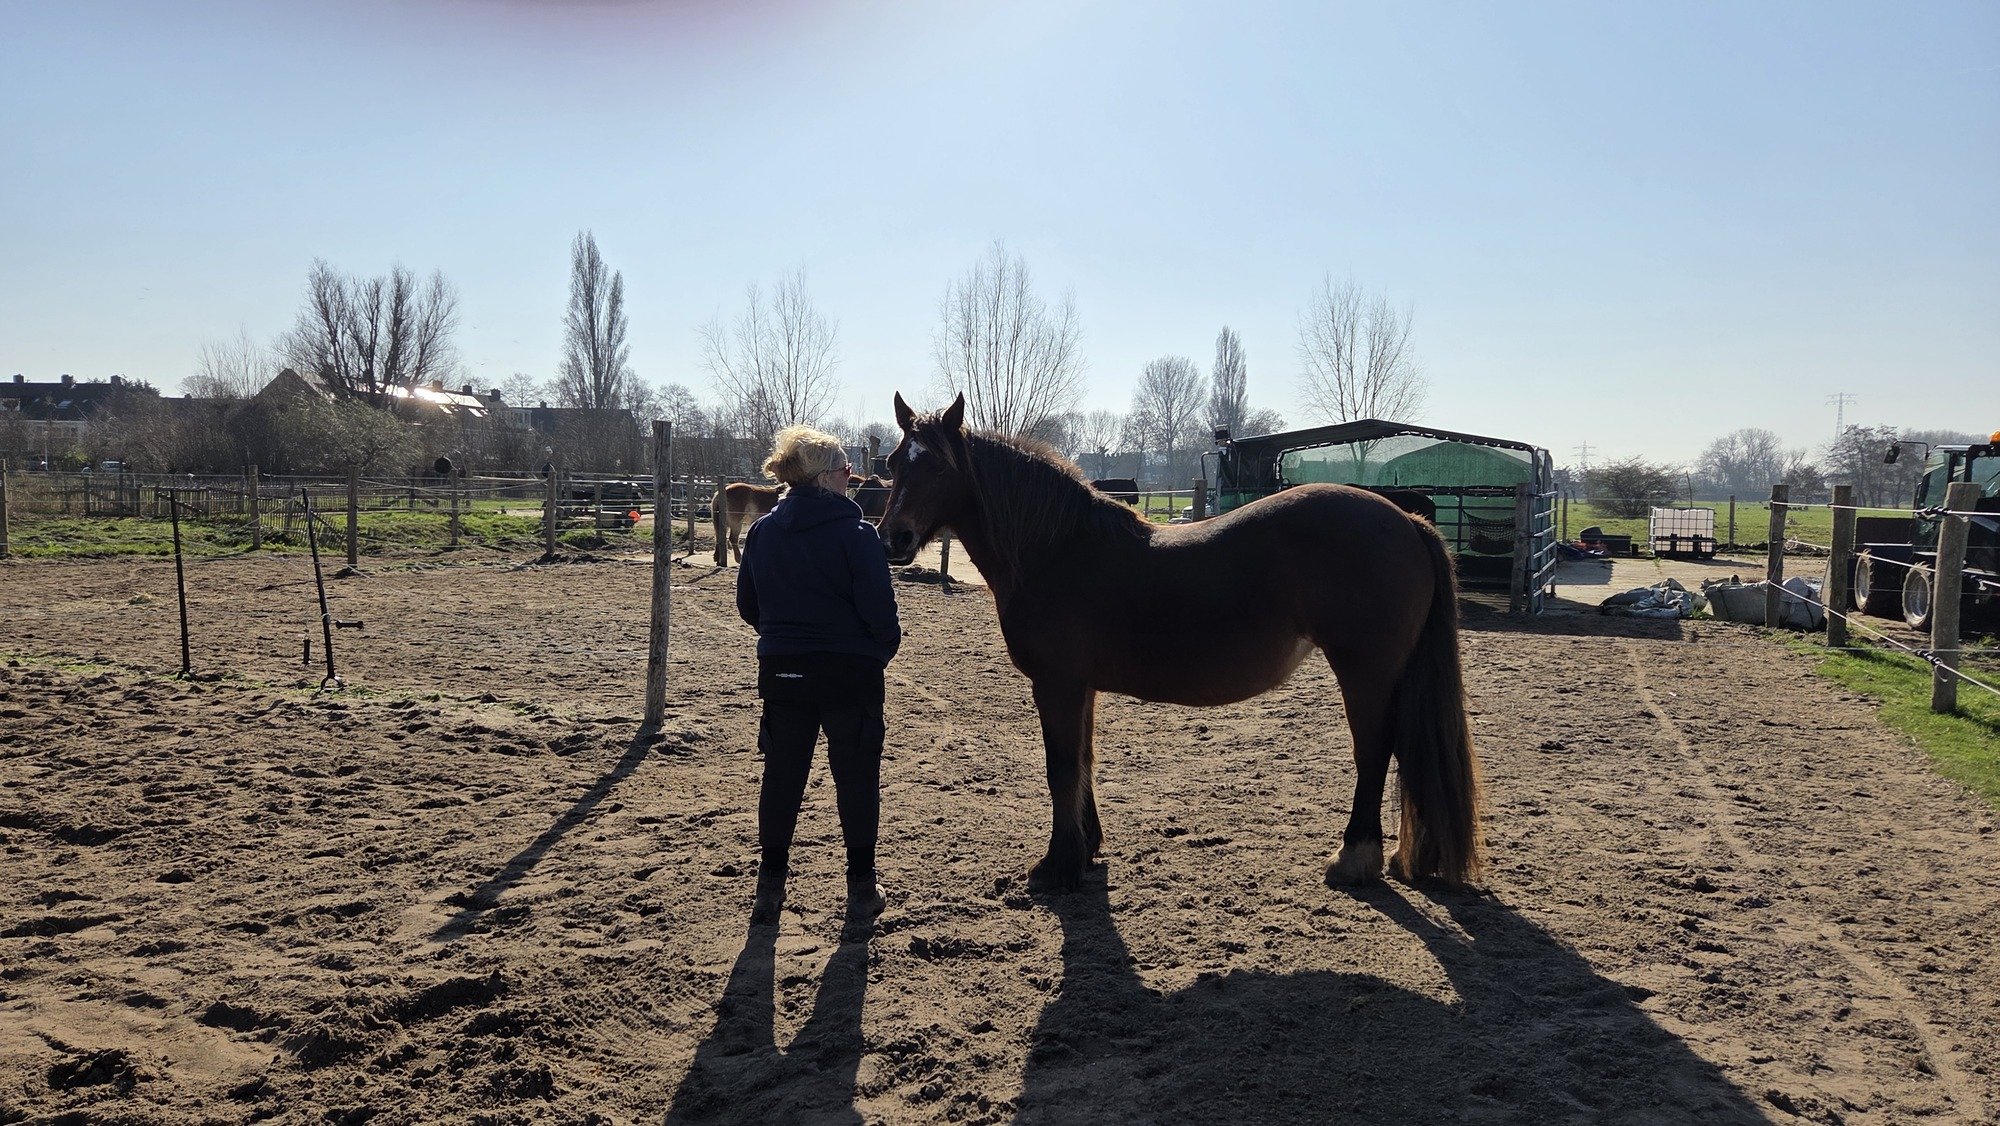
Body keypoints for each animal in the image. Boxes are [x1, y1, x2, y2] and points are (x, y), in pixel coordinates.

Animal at [877, 393, 1481, 892]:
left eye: (938, 464)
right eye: (893, 463)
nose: (893, 539)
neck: (1057, 549)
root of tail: (1407, 520)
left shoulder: (1057, 684)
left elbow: (1061, 767)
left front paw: (1058, 866)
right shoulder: (1081, 688)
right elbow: (1085, 759)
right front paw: (1087, 850)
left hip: (1366, 671)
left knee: (1374, 751)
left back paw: (1353, 859)